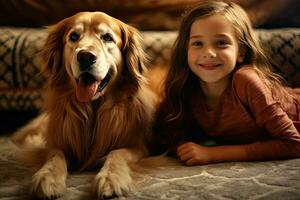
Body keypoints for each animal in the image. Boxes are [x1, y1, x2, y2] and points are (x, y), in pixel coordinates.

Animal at [10, 11, 158, 199]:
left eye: (107, 37)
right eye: (73, 36)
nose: (86, 56)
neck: (93, 111)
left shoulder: (139, 146)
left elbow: (117, 153)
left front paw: (111, 178)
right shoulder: (56, 141)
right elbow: (54, 155)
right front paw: (47, 177)